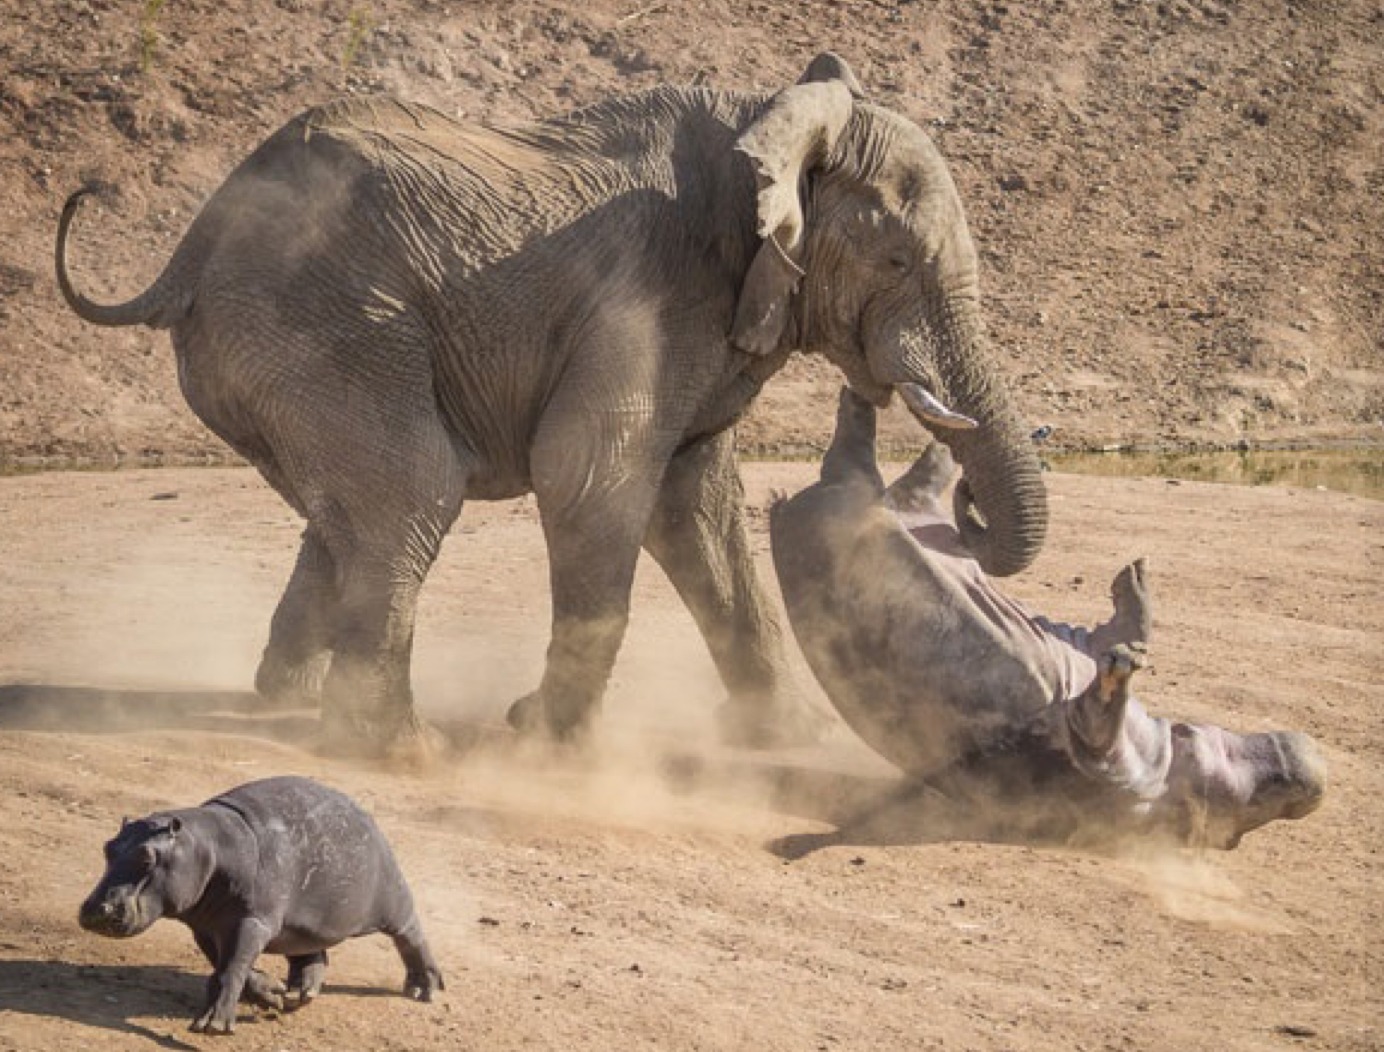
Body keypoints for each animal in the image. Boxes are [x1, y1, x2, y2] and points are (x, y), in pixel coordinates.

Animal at [56, 53, 1046, 753]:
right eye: (898, 262)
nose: (964, 501)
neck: (767, 119)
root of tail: (191, 248)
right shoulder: (648, 294)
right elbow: (591, 476)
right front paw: (546, 739)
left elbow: (697, 506)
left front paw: (790, 739)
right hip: (321, 323)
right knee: (414, 491)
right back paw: (399, 749)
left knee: (350, 512)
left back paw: (283, 700)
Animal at [79, 775, 442, 1035]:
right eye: (107, 847)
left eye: (147, 857)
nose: (97, 910)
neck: (207, 847)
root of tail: (364, 811)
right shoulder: (206, 927)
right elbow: (226, 964)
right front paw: (273, 993)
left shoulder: (253, 921)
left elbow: (232, 967)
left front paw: (212, 1026)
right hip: (302, 926)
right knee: (312, 955)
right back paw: (299, 994)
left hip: (392, 898)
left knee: (411, 934)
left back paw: (424, 990)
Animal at [775, 390, 1323, 852]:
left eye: (1264, 799)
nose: (1312, 776)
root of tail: (789, 506)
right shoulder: (1091, 670)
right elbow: (1124, 631)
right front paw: (1135, 587)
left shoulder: (1099, 760)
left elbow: (1098, 717)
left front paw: (1123, 664)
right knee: (905, 475)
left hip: (854, 501)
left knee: (872, 462)